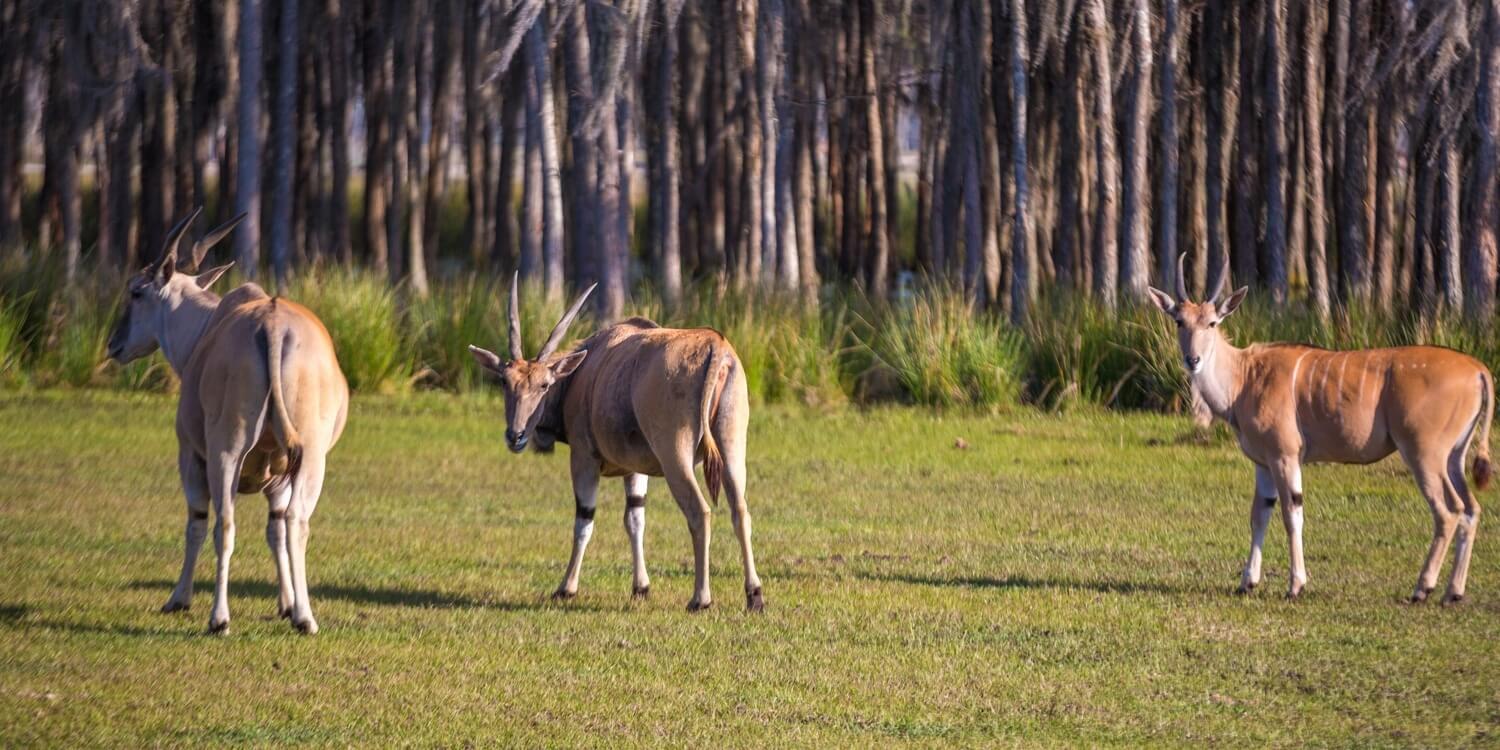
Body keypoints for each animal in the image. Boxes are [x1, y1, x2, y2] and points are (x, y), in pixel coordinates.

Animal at [108, 208, 348, 630]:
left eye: (136, 292)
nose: (113, 344)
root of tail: (273, 324)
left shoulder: (191, 455)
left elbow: (197, 523)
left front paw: (179, 598)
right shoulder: (278, 476)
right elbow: (276, 528)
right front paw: (287, 604)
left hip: (226, 452)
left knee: (225, 524)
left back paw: (219, 618)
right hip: (311, 458)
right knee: (296, 522)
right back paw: (305, 617)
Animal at [468, 279, 762, 612]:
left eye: (544, 384)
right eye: (505, 382)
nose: (515, 435)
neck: (581, 374)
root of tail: (716, 346)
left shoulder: (583, 458)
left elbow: (584, 520)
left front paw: (566, 588)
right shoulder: (635, 470)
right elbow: (635, 518)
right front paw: (641, 587)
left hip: (675, 458)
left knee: (700, 512)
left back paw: (700, 599)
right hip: (732, 449)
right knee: (740, 510)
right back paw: (754, 595)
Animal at [1146, 258, 1488, 603]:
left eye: (1213, 323)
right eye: (1179, 321)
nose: (1192, 359)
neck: (1244, 376)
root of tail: (1478, 369)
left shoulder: (1285, 456)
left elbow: (1291, 513)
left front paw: (1295, 585)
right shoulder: (1263, 463)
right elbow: (1259, 515)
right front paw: (1247, 582)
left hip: (1424, 454)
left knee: (1448, 512)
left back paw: (1423, 588)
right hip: (1454, 457)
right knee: (1471, 509)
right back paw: (1453, 592)